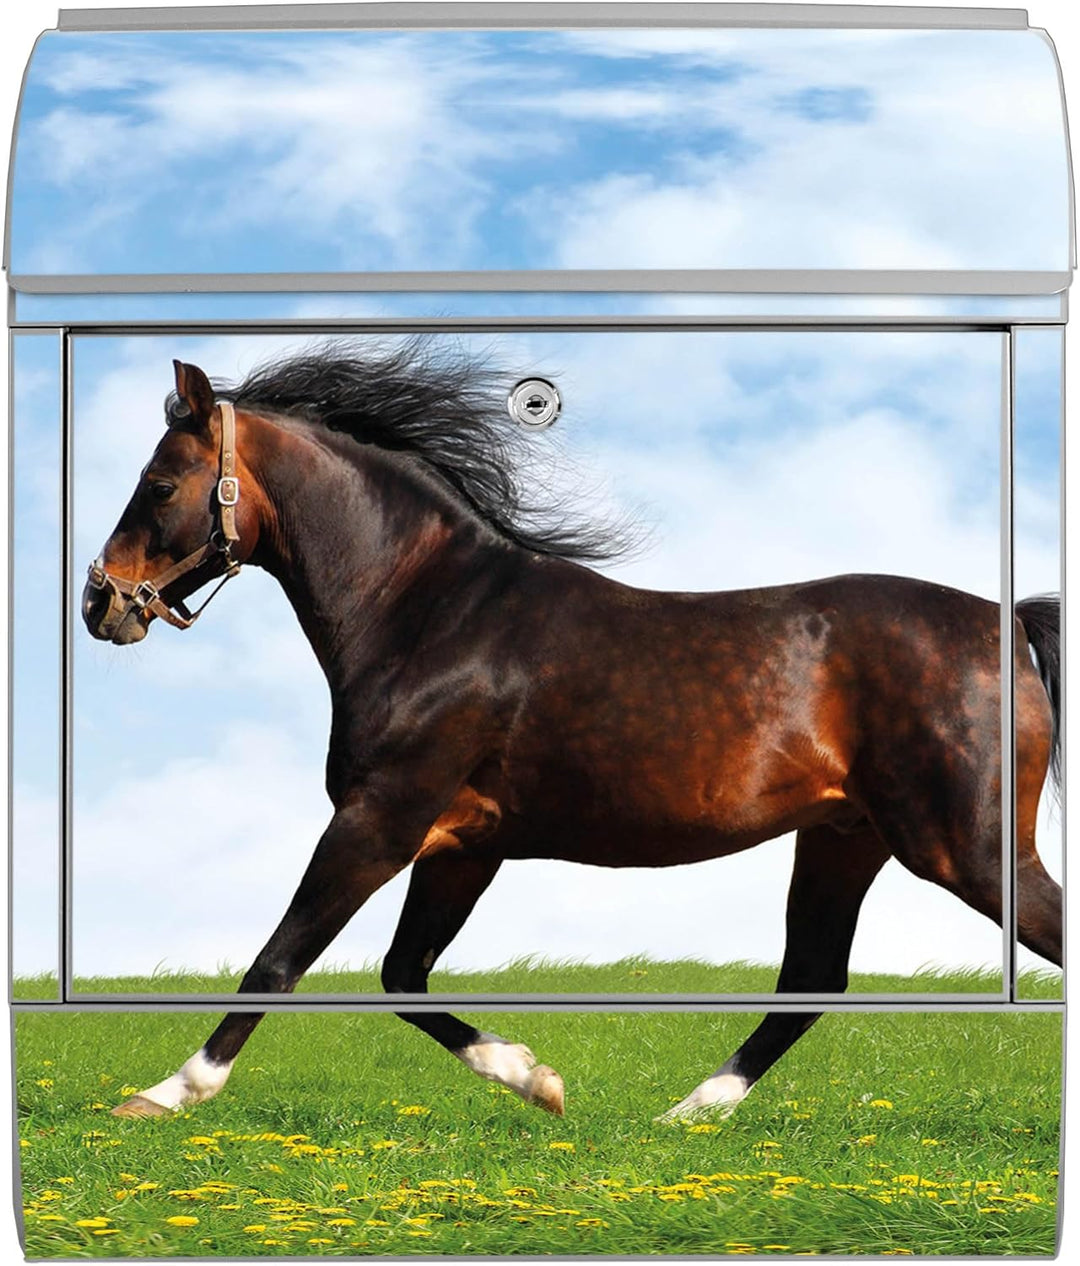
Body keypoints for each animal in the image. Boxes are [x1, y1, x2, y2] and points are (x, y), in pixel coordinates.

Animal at [82, 344, 1062, 1123]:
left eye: (159, 484)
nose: (100, 603)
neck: (431, 612)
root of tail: (1009, 623)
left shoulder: (378, 822)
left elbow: (278, 963)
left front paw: (164, 1095)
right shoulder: (462, 847)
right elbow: (402, 975)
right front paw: (539, 1081)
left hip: (964, 850)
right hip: (843, 837)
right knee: (810, 979)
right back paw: (688, 1112)